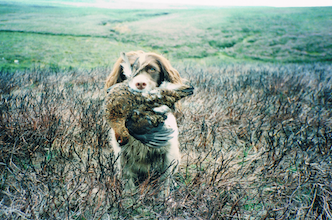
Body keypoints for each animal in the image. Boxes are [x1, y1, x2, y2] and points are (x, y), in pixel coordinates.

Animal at [105, 50, 185, 194]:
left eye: (152, 69)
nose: (140, 84)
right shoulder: (123, 155)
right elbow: (127, 179)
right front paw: (128, 196)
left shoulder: (167, 153)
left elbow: (164, 181)